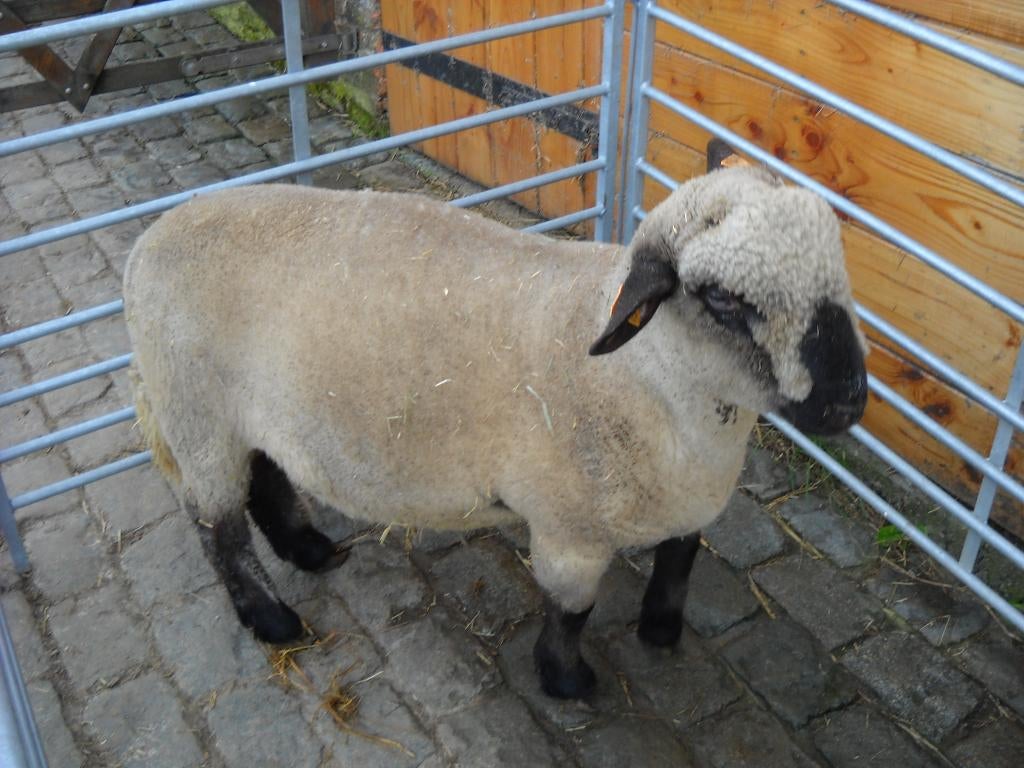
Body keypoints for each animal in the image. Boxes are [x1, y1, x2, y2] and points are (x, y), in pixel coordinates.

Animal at [123, 152, 867, 699]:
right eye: (721, 299)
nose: (848, 402)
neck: (643, 376)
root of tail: (149, 239)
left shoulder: (688, 503)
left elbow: (679, 565)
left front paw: (660, 634)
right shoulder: (569, 528)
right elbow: (571, 610)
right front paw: (567, 680)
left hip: (245, 413)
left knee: (268, 479)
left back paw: (309, 549)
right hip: (195, 413)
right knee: (218, 529)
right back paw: (273, 619)